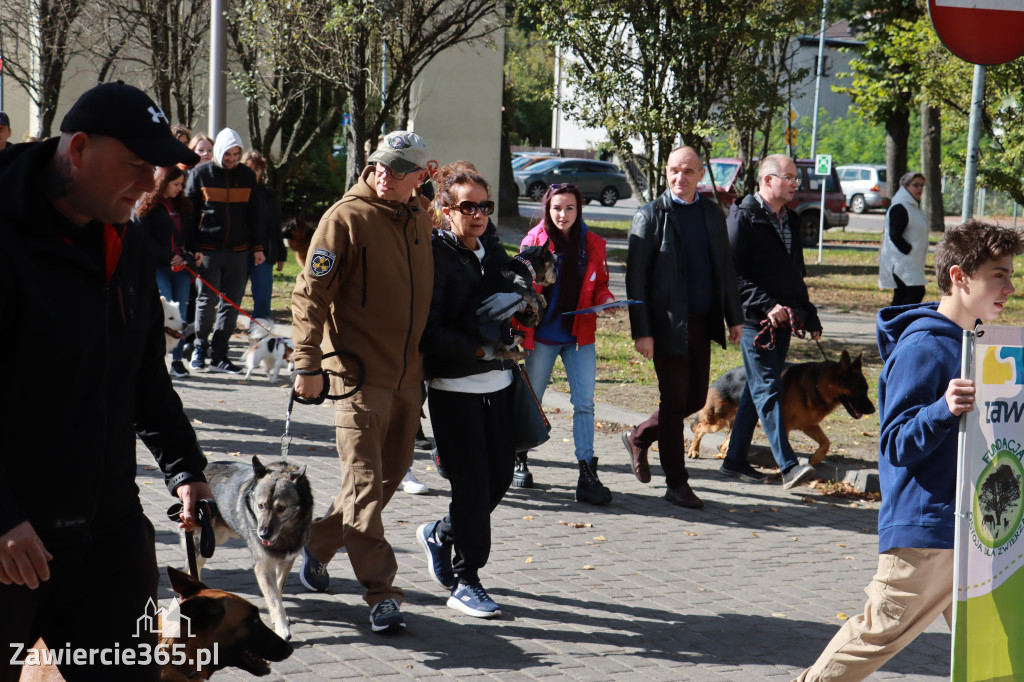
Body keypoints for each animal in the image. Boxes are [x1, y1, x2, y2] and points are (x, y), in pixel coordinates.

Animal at [197, 456, 311, 638]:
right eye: (260, 505)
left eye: (281, 508)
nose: (263, 535)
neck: (285, 533)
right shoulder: (263, 566)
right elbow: (274, 599)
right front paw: (282, 627)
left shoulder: (286, 561)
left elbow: (277, 591)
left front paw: (278, 617)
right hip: (206, 541)